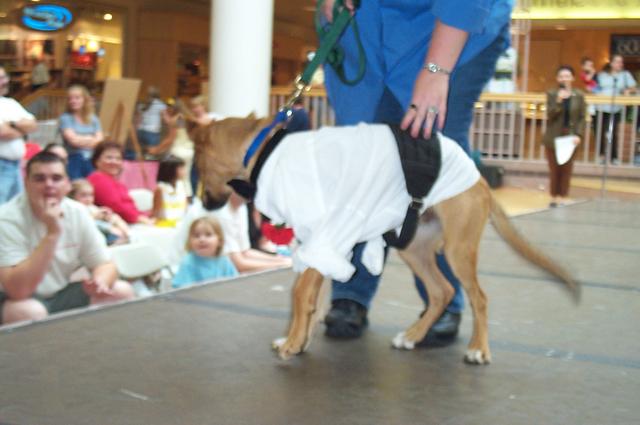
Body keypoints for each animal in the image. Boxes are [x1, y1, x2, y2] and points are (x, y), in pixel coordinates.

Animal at [187, 113, 580, 365]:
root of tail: (481, 180)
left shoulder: (326, 239)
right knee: (442, 291)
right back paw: (413, 336)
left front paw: (293, 343)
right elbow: (307, 298)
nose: (203, 203)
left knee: (478, 298)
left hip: (458, 250)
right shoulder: (317, 245)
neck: (265, 151)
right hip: (415, 247)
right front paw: (297, 339)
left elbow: (299, 294)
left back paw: (478, 349)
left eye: (198, 165)